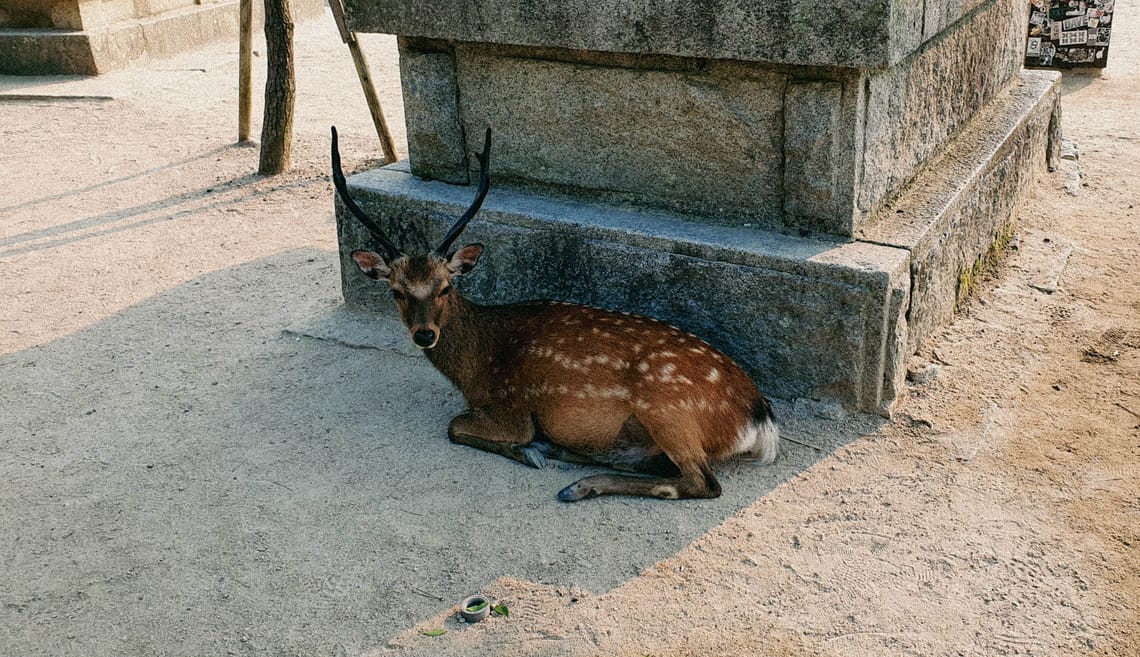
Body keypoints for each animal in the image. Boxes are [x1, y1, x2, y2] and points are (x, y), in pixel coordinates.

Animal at [331, 126, 778, 501]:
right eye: (396, 291)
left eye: (445, 287)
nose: (425, 334)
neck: (475, 366)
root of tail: (760, 418)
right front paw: (539, 449)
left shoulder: (510, 407)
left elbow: (456, 427)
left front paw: (528, 451)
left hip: (668, 408)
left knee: (701, 482)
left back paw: (579, 484)